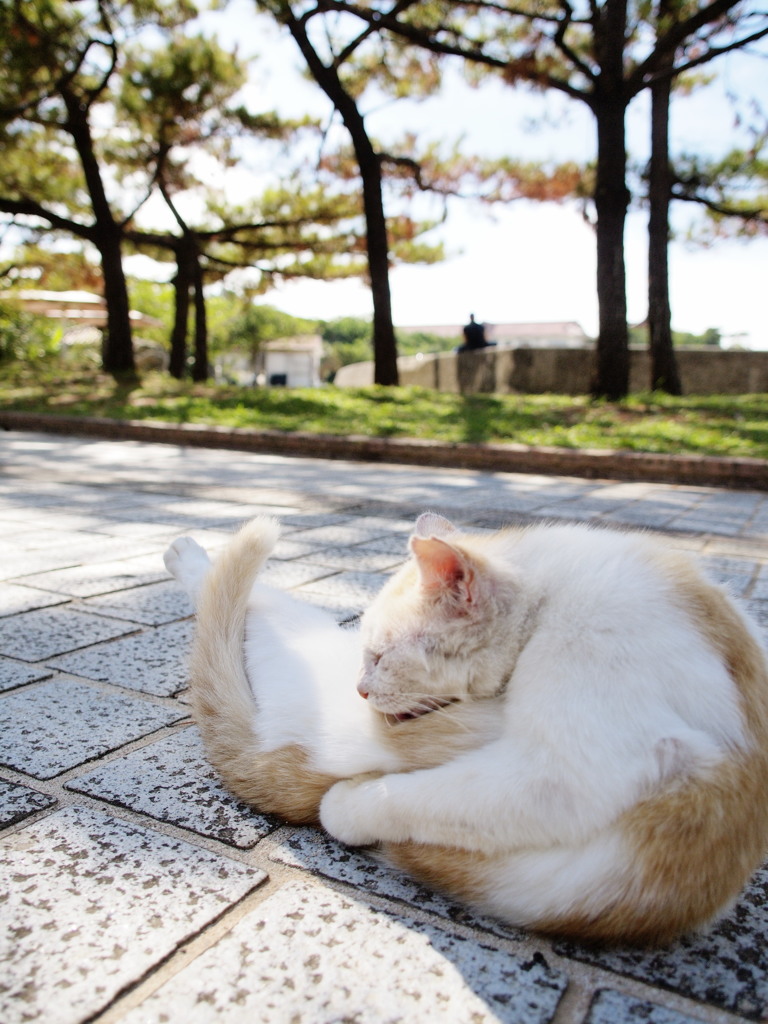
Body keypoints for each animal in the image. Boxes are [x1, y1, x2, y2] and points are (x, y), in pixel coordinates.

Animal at [165, 512, 768, 942]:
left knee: (248, 600)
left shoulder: (561, 774)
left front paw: (344, 809)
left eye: (379, 657)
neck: (549, 601)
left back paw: (187, 557)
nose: (361, 689)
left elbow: (402, 800)